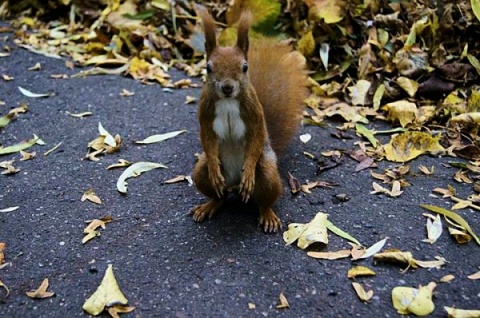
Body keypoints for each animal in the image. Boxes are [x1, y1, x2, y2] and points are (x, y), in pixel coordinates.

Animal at [191, 6, 308, 231]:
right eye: (208, 67)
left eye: (245, 67)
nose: (227, 87)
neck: (228, 101)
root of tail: (234, 183)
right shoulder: (205, 112)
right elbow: (207, 138)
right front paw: (213, 167)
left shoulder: (254, 113)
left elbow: (256, 136)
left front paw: (249, 171)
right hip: (201, 174)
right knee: (219, 194)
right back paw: (209, 204)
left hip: (267, 172)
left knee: (265, 199)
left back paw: (267, 213)